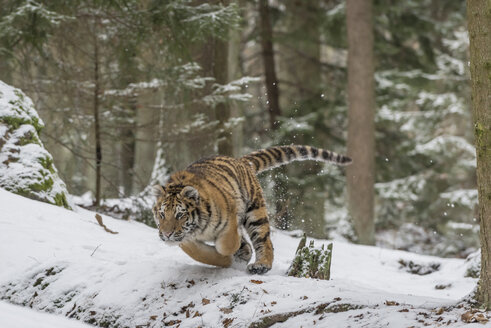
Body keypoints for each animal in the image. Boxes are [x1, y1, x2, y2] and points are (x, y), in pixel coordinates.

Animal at [152, 145, 352, 272]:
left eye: (180, 215)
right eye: (162, 215)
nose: (167, 234)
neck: (198, 230)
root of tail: (240, 161)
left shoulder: (229, 222)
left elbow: (226, 245)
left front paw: (232, 256)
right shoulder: (187, 240)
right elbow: (200, 254)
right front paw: (232, 257)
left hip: (256, 212)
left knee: (264, 241)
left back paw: (261, 264)